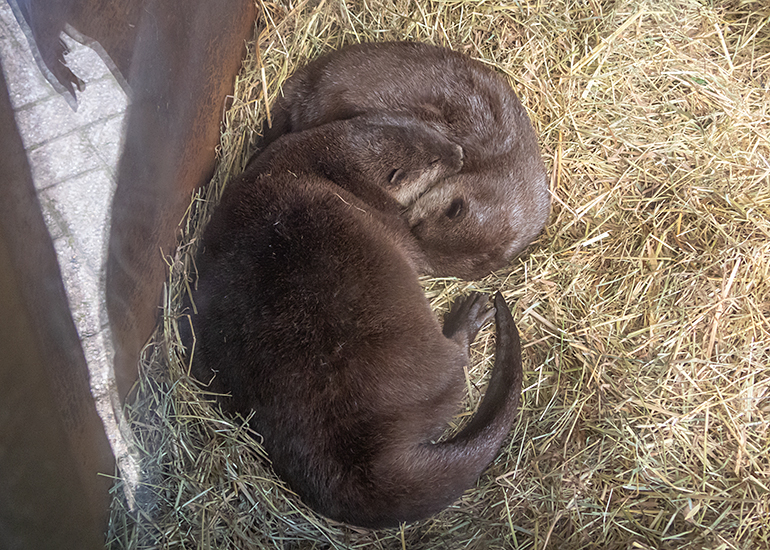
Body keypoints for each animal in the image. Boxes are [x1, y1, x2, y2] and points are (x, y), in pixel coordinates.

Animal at [184, 118, 524, 528]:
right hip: (428, 361)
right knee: (454, 362)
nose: (458, 152)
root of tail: (352, 458)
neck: (322, 167)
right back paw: (466, 318)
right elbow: (417, 251)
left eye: (429, 132)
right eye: (432, 161)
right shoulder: (387, 215)